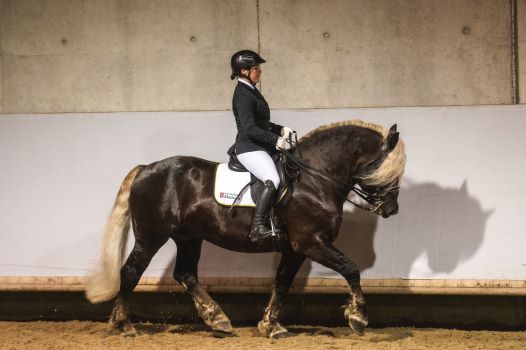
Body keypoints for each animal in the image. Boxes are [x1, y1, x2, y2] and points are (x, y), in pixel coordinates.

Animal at [86, 119, 408, 340]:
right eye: (388, 169)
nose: (392, 209)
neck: (315, 179)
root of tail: (145, 169)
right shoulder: (311, 243)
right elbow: (350, 268)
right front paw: (358, 318)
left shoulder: (295, 249)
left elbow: (282, 283)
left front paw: (271, 325)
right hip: (152, 236)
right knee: (130, 272)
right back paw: (124, 324)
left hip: (188, 237)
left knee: (185, 274)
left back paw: (218, 319)